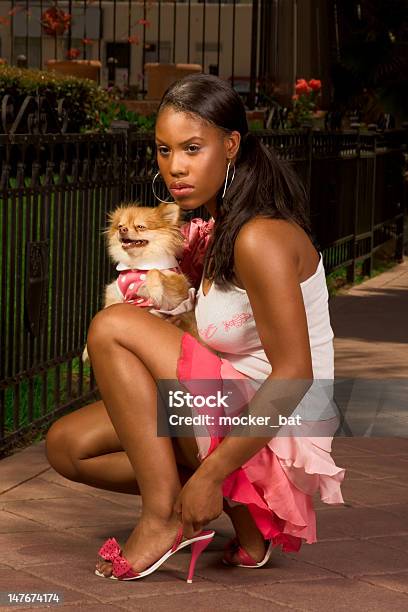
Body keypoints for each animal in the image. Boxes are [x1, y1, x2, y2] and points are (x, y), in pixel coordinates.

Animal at [81, 201, 199, 364]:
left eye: (140, 227)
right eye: (120, 226)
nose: (123, 230)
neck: (138, 263)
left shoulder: (176, 293)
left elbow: (153, 271)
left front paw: (153, 289)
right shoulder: (115, 295)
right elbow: (102, 313)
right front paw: (86, 350)